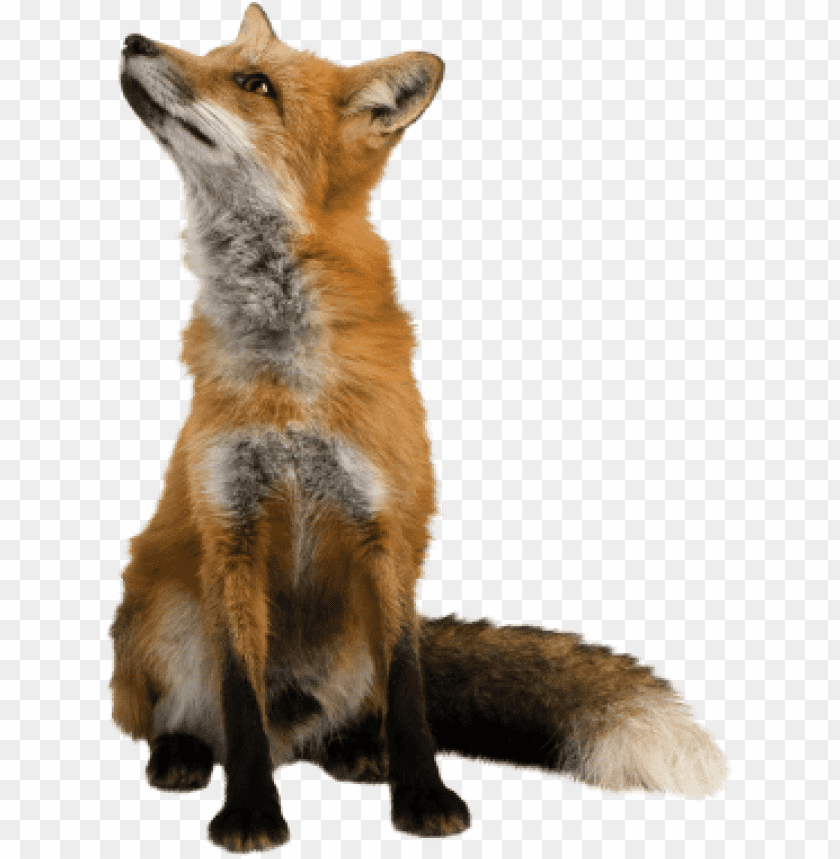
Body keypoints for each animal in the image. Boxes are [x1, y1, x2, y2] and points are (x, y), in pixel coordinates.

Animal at [113, 3, 728, 852]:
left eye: (253, 82)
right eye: (210, 52)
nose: (133, 39)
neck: (288, 377)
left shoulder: (388, 527)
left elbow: (409, 690)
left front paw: (423, 797)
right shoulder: (229, 528)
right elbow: (239, 696)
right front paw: (251, 812)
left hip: (350, 642)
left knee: (347, 714)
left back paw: (355, 750)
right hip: (163, 611)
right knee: (195, 719)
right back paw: (182, 753)